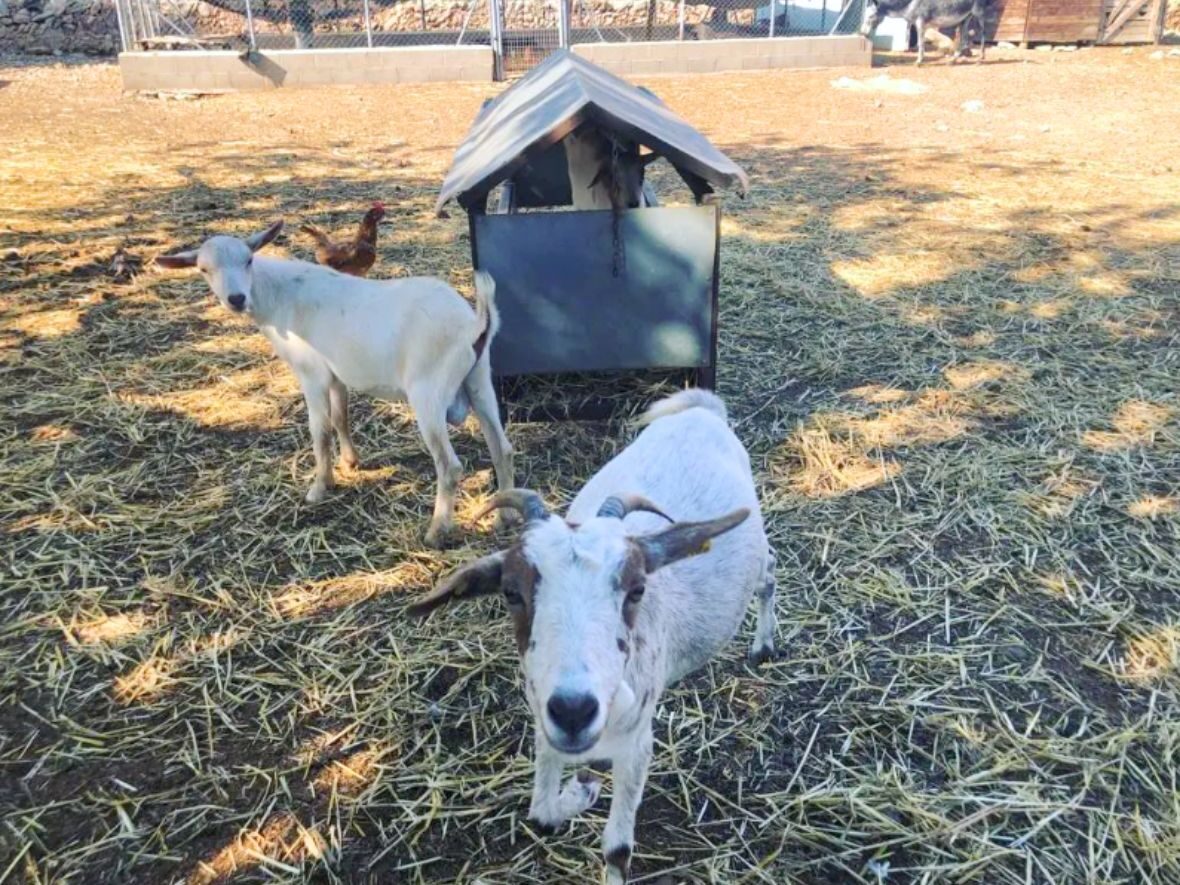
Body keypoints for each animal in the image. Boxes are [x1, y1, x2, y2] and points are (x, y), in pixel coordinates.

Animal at [154, 221, 514, 547]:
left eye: (248, 260)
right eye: (204, 269)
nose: (237, 298)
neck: (280, 296)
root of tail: (475, 324)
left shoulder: (311, 372)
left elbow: (320, 430)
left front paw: (319, 487)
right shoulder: (337, 373)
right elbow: (341, 417)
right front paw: (350, 462)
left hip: (429, 391)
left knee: (449, 466)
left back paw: (437, 532)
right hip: (480, 379)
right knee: (502, 449)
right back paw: (505, 515)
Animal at [410, 389, 778, 885]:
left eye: (637, 589)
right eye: (511, 593)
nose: (572, 710)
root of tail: (702, 409)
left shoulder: (637, 743)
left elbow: (617, 849)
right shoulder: (545, 727)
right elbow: (541, 811)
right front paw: (580, 790)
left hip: (754, 553)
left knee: (769, 571)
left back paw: (764, 644)